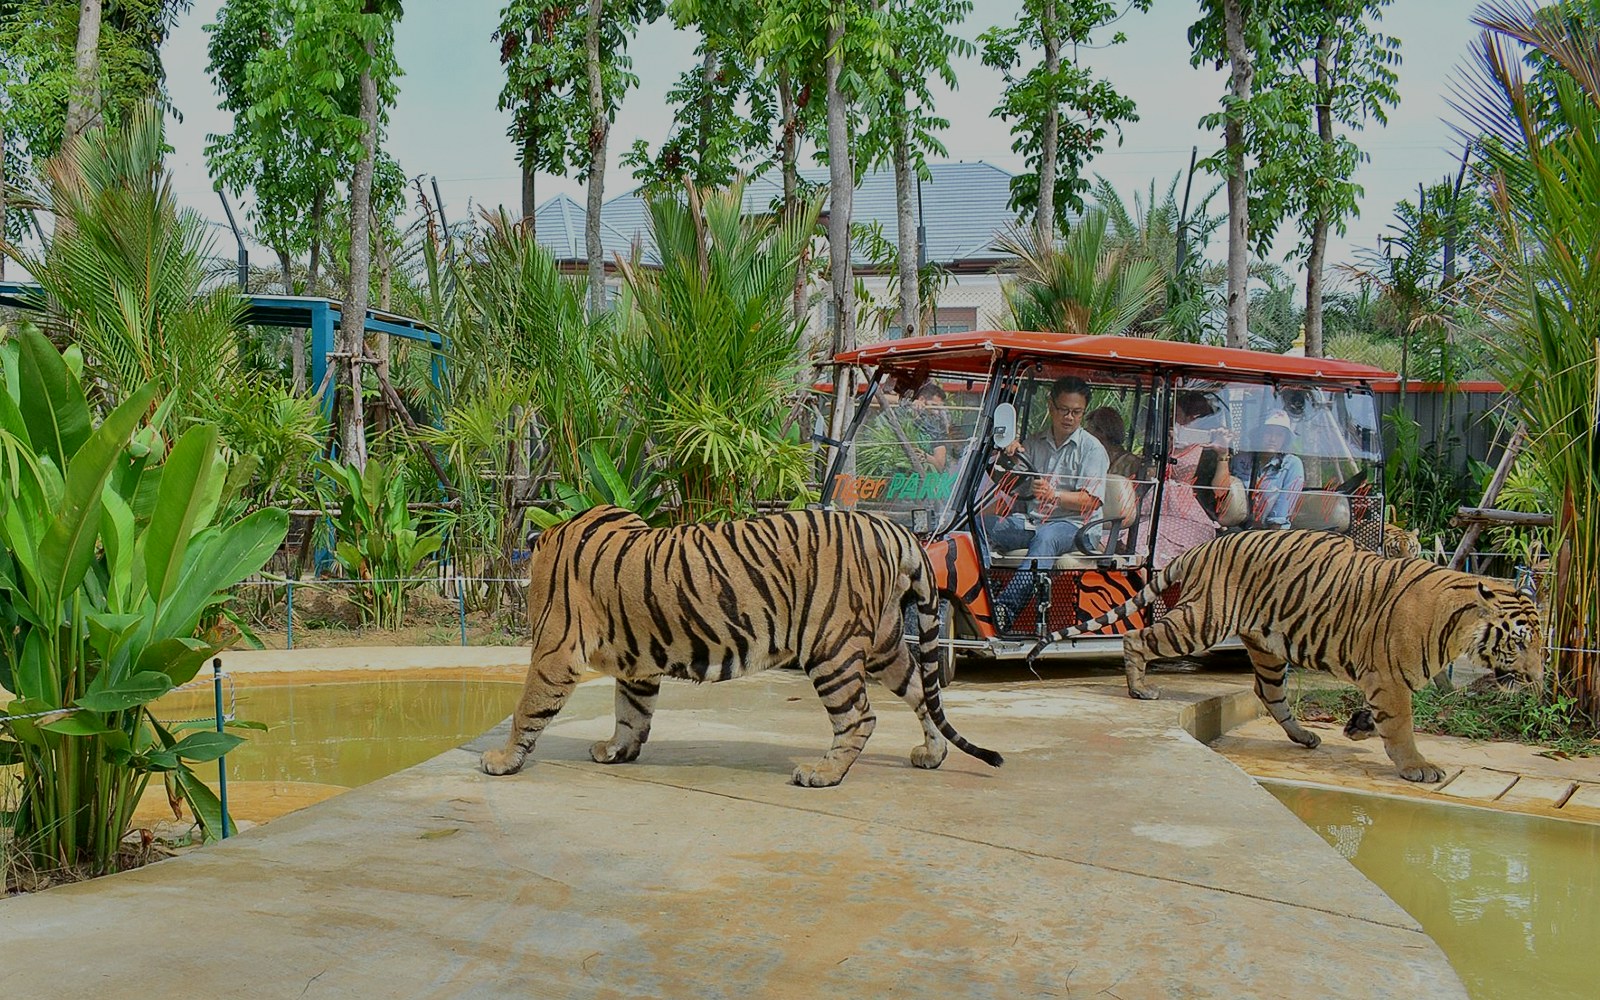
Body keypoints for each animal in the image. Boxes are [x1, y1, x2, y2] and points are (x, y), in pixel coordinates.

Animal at [481, 504, 1004, 787]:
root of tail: (895, 530)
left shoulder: (555, 651)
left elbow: (527, 709)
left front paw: (503, 760)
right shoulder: (638, 666)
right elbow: (631, 713)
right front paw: (616, 750)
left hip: (830, 646)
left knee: (860, 716)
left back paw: (822, 773)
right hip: (885, 643)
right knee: (923, 691)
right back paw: (931, 755)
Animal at [1025, 529, 1542, 782]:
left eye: (1540, 642)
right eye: (1519, 641)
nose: (1538, 679)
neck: (1457, 628)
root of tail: (1206, 544)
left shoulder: (1380, 680)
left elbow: (1378, 716)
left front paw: (1358, 727)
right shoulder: (1391, 680)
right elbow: (1401, 728)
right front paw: (1417, 766)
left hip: (1269, 649)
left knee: (1269, 695)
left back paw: (1306, 737)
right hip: (1202, 622)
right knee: (1138, 638)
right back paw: (1140, 689)